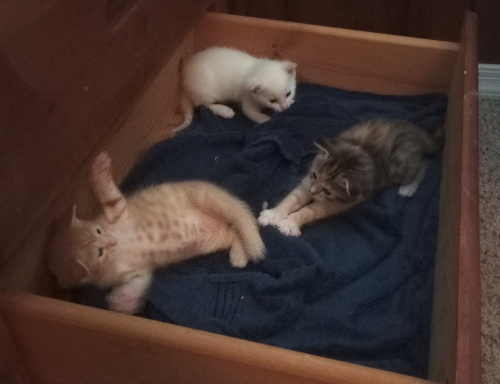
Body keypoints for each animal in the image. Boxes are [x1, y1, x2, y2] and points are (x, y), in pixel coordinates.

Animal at [47, 152, 266, 314]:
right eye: (100, 252)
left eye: (99, 231)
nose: (112, 241)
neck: (117, 249)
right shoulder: (136, 273)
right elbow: (137, 286)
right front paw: (121, 302)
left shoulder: (118, 211)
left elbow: (110, 197)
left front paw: (99, 169)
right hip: (213, 240)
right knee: (233, 230)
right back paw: (239, 254)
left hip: (206, 197)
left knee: (241, 216)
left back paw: (251, 244)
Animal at [260, 118, 444, 236]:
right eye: (314, 175)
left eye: (327, 191)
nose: (313, 192)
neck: (363, 152)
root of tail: (415, 131)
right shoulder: (306, 184)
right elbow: (292, 198)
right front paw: (273, 214)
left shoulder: (335, 204)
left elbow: (310, 211)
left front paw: (290, 222)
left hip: (400, 167)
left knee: (424, 164)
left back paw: (408, 187)